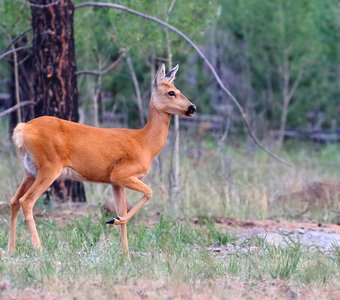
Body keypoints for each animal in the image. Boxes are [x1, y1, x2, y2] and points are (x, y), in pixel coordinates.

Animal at [8, 63, 197, 255]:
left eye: (178, 90)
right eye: (171, 92)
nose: (192, 108)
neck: (145, 144)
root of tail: (22, 129)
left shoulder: (115, 183)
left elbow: (122, 209)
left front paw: (125, 254)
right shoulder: (121, 174)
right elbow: (149, 192)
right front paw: (114, 221)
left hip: (30, 170)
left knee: (14, 201)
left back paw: (11, 249)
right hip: (49, 166)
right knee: (26, 201)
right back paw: (39, 248)